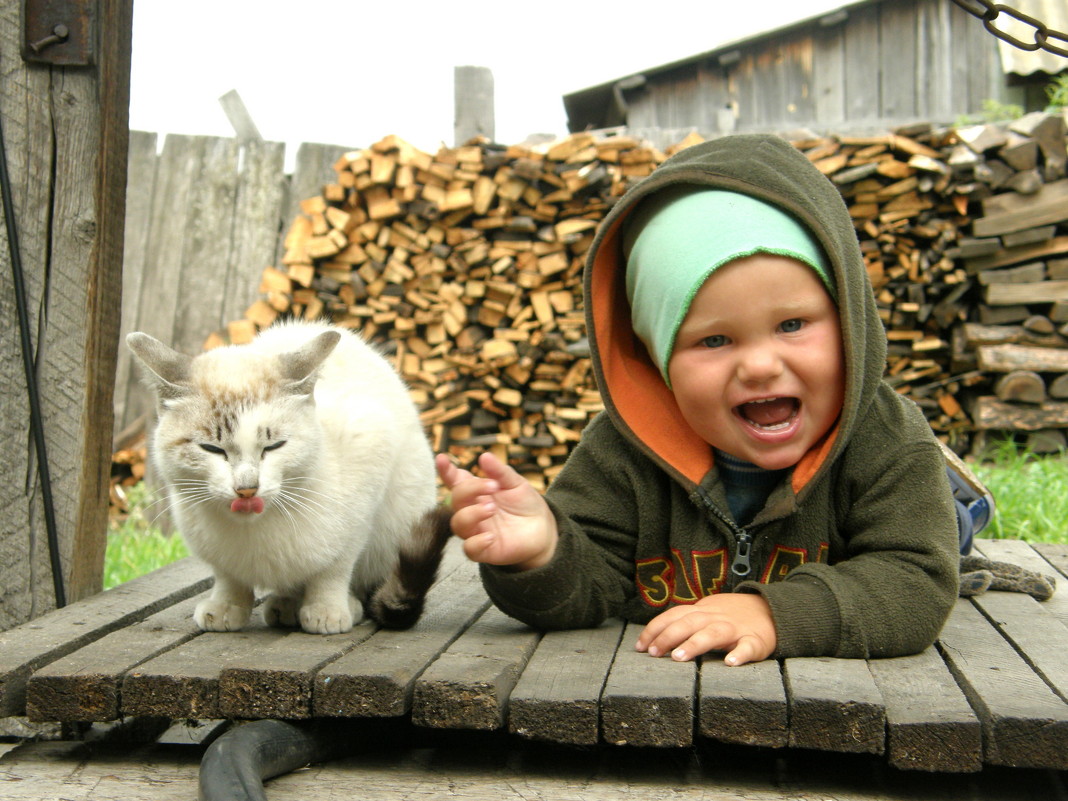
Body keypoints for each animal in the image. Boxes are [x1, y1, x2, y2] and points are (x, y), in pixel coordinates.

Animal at [126, 320, 450, 632]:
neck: (254, 529)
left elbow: (335, 568)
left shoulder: (366, 473)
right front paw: (227, 606)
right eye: (212, 449)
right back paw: (286, 605)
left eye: (273, 446)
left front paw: (327, 610)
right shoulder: (214, 549)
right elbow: (228, 575)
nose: (247, 489)